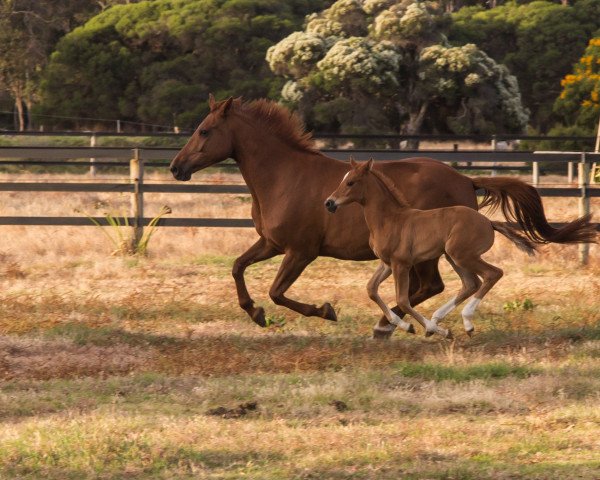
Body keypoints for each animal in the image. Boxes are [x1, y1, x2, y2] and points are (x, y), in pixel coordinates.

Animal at [326, 158, 536, 338]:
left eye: (351, 182)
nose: (329, 202)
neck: (390, 219)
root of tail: (489, 222)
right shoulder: (387, 263)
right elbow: (371, 289)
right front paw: (406, 326)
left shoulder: (401, 264)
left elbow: (402, 300)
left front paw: (428, 329)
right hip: (453, 257)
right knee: (471, 283)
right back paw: (440, 318)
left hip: (463, 256)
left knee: (492, 274)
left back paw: (465, 321)